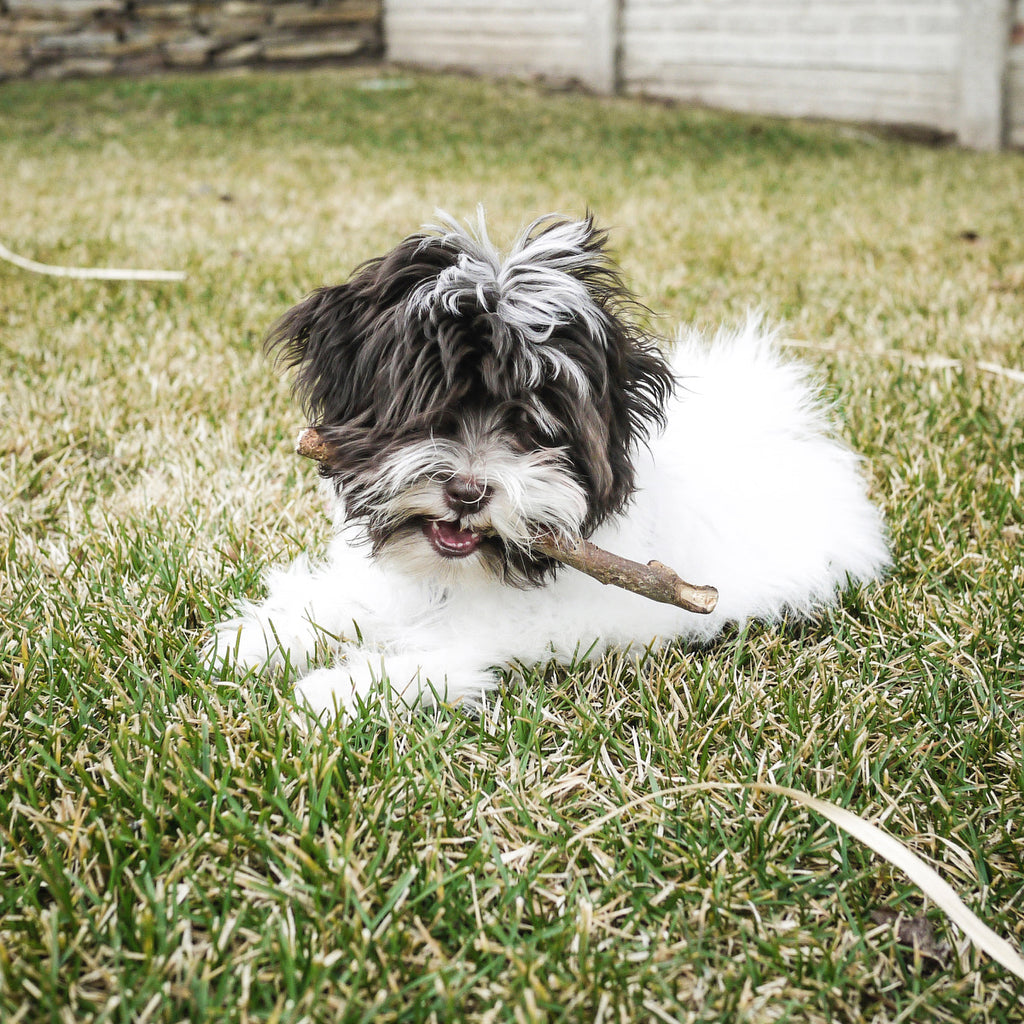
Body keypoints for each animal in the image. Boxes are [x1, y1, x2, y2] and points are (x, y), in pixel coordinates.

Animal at [207, 209, 888, 720]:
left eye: (534, 427)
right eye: (432, 408)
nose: (467, 492)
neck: (456, 571)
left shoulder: (538, 627)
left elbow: (449, 650)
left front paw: (336, 691)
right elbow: (346, 601)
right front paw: (257, 641)